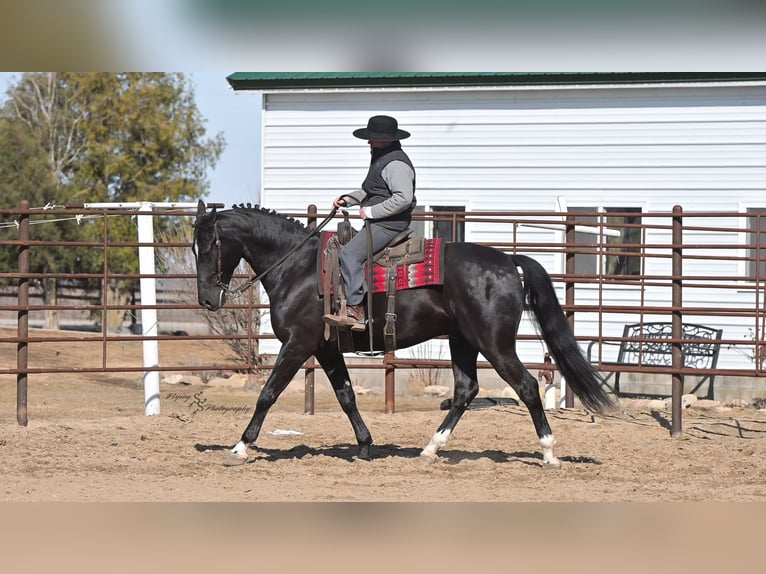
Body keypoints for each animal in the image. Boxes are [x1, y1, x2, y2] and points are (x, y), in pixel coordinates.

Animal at [192, 199, 614, 467]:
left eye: (210, 246)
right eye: (194, 246)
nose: (208, 299)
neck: (299, 268)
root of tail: (509, 262)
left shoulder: (298, 344)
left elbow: (268, 393)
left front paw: (240, 447)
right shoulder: (326, 349)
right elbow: (346, 396)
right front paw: (365, 446)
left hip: (495, 344)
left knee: (525, 386)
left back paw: (548, 453)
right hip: (463, 342)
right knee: (466, 390)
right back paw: (430, 449)